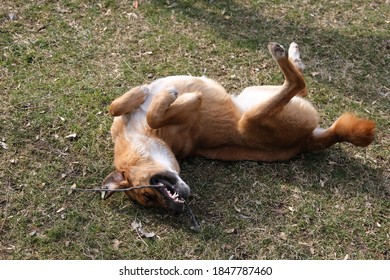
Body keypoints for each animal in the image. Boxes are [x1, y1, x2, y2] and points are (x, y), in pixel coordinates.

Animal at [100, 41, 374, 212]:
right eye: (149, 199)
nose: (176, 207)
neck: (136, 137)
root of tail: (306, 142)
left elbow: (116, 107)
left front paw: (142, 93)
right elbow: (155, 115)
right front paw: (176, 97)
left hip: (254, 94)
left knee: (299, 84)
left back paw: (291, 54)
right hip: (252, 116)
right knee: (298, 84)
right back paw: (284, 54)